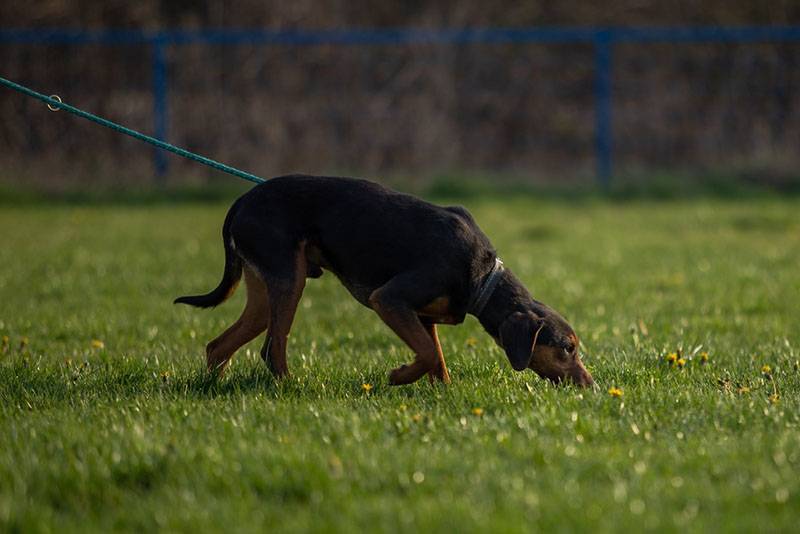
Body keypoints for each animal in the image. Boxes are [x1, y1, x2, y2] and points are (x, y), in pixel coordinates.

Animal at [178, 176, 596, 390]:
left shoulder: (422, 315)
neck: (483, 278)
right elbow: (426, 353)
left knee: (219, 346)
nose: (590, 385)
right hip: (289, 280)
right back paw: (292, 388)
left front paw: (442, 393)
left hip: (266, 290)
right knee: (271, 347)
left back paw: (214, 387)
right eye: (568, 348)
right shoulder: (389, 299)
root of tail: (242, 199)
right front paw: (399, 377)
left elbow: (436, 356)